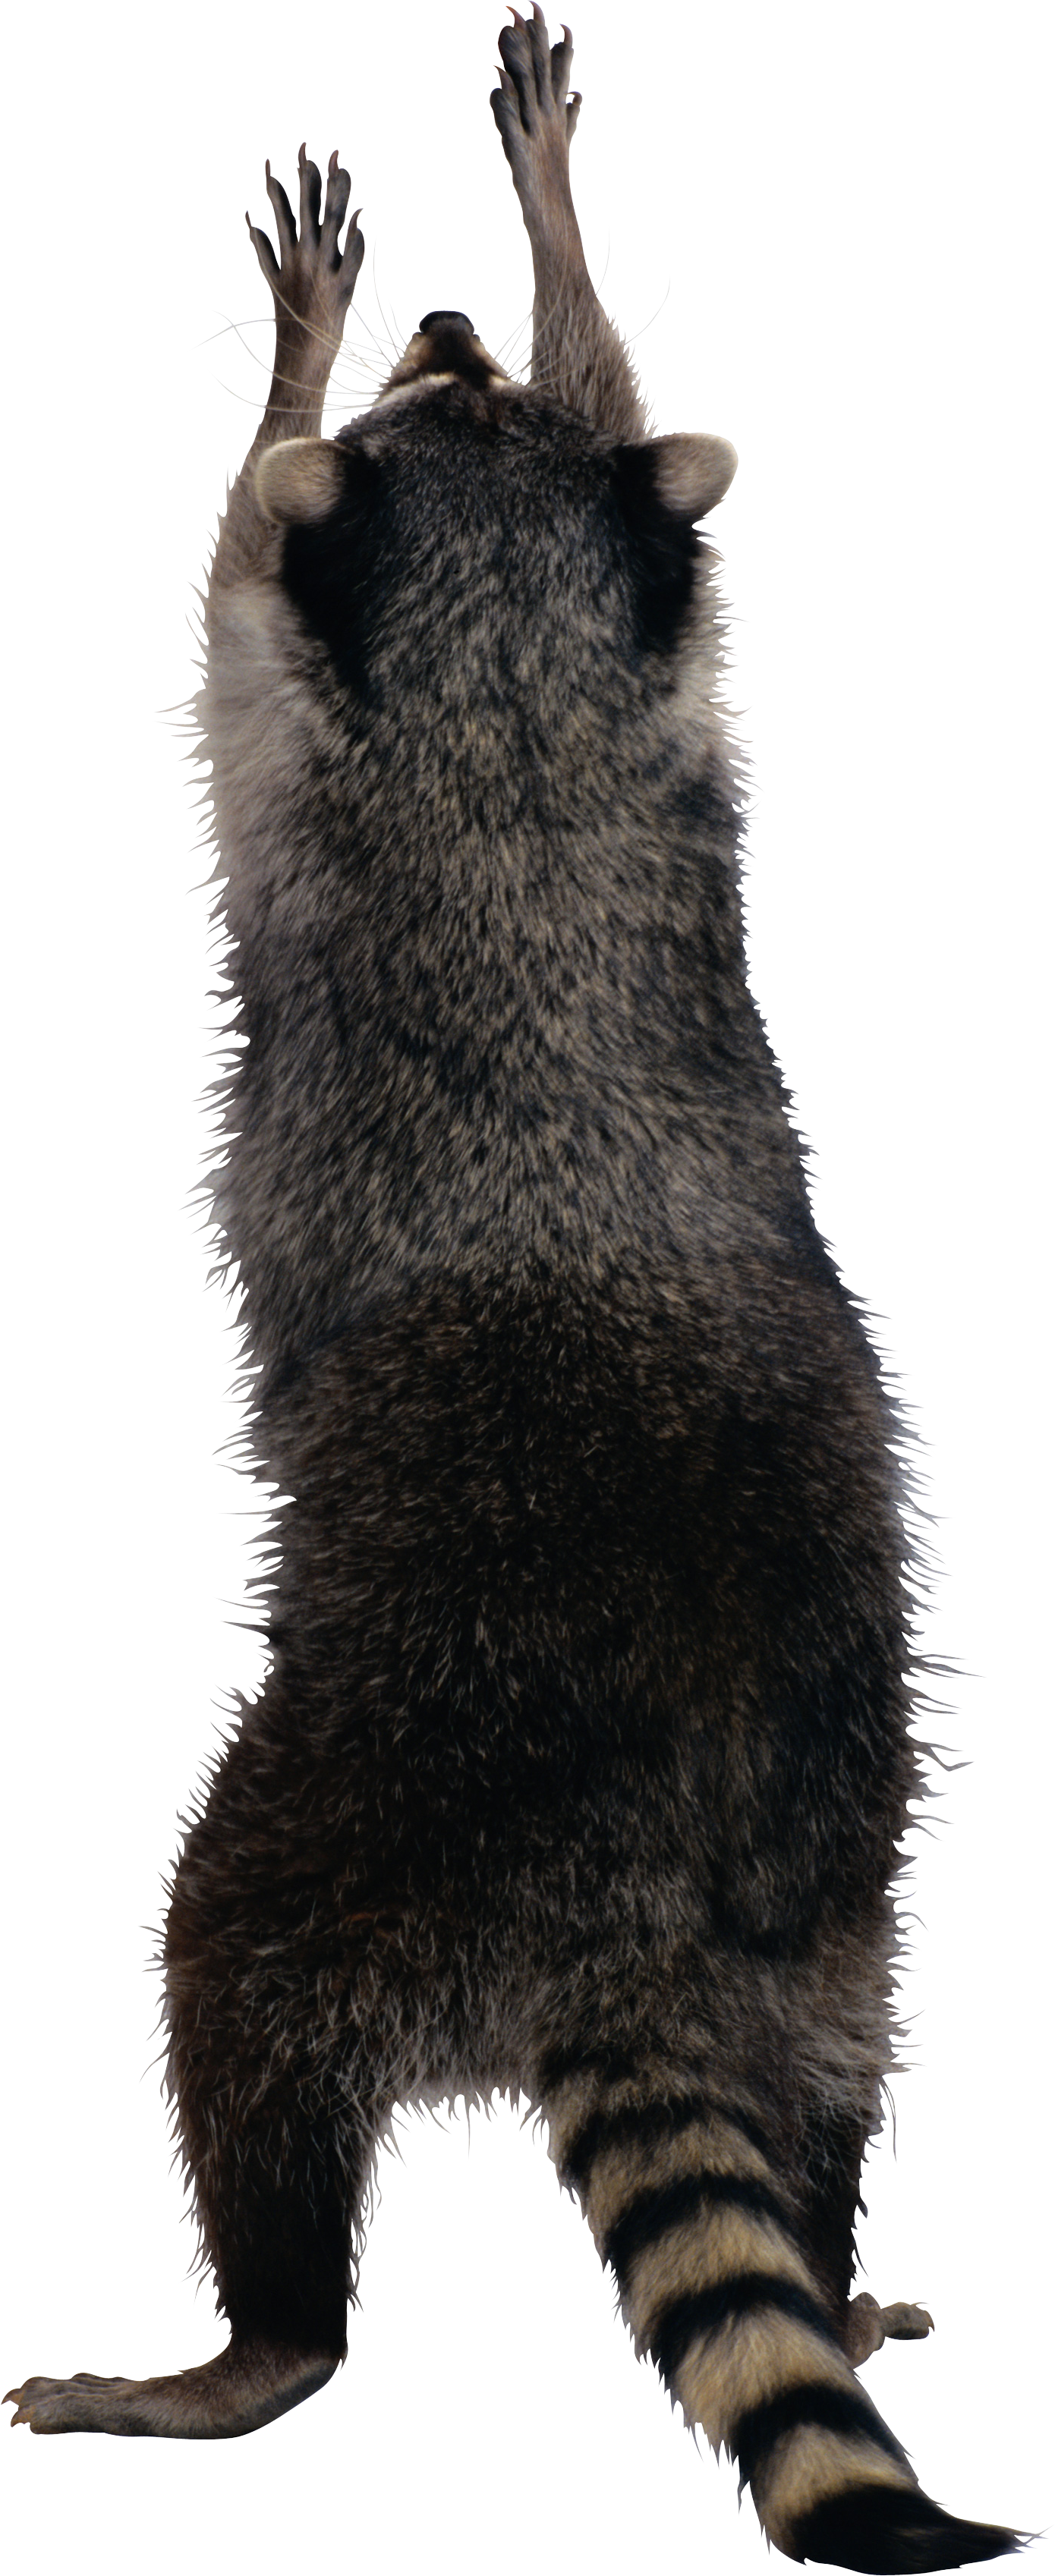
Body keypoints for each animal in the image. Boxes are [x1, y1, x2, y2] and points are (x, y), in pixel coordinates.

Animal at [6, 8, 1020, 2567]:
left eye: (420, 403)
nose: (449, 321)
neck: (517, 678)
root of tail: (635, 1893)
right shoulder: (664, 679)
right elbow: (657, 429)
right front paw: (556, 241)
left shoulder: (289, 709)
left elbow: (219, 546)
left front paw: (313, 336)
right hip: (837, 1883)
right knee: (826, 2083)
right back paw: (826, 2259)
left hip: (367, 1788)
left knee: (230, 1983)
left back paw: (255, 2340)